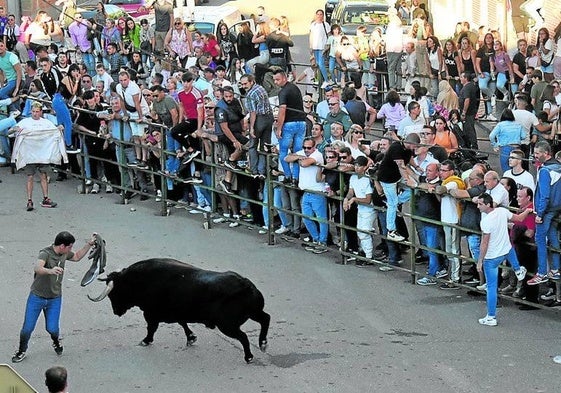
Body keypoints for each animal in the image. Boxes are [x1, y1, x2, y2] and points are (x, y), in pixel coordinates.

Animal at [88, 258, 270, 362]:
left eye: (114, 293)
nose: (116, 312)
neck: (140, 280)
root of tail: (246, 285)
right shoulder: (177, 312)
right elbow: (183, 323)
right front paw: (191, 337)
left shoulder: (151, 313)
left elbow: (151, 328)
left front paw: (146, 340)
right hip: (253, 313)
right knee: (265, 318)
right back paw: (262, 343)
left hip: (228, 325)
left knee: (243, 336)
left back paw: (249, 356)